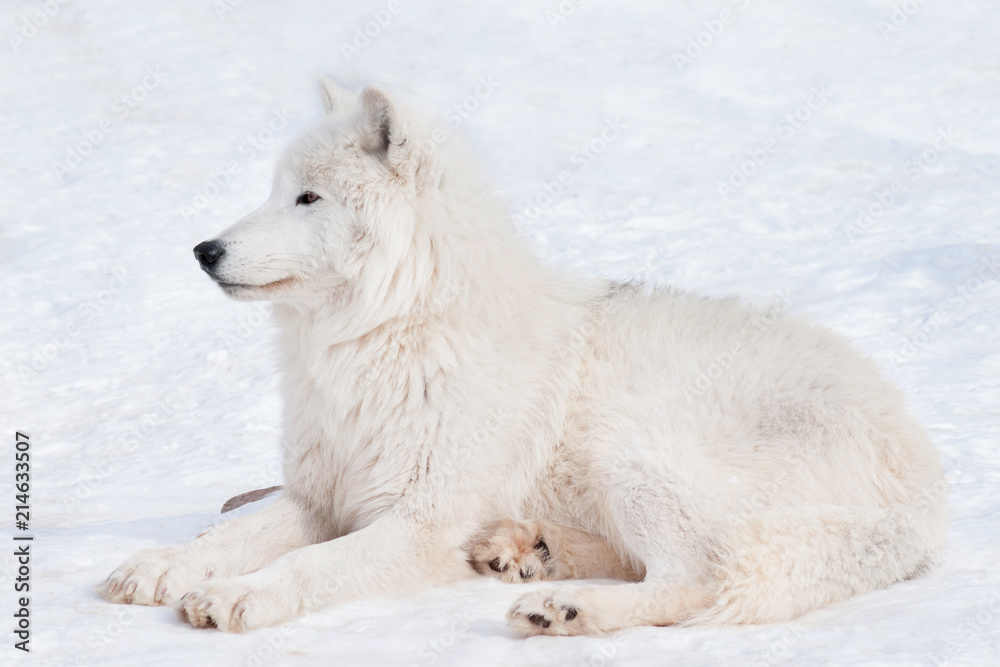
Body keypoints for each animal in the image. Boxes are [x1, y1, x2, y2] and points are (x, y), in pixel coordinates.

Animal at [103, 80, 948, 635]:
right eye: (276, 191)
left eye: (308, 199)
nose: (205, 250)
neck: (384, 336)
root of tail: (924, 496)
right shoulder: (321, 495)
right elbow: (222, 536)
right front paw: (160, 565)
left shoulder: (419, 519)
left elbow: (306, 566)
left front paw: (242, 596)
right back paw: (525, 552)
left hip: (632, 455)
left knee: (700, 580)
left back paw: (563, 606)